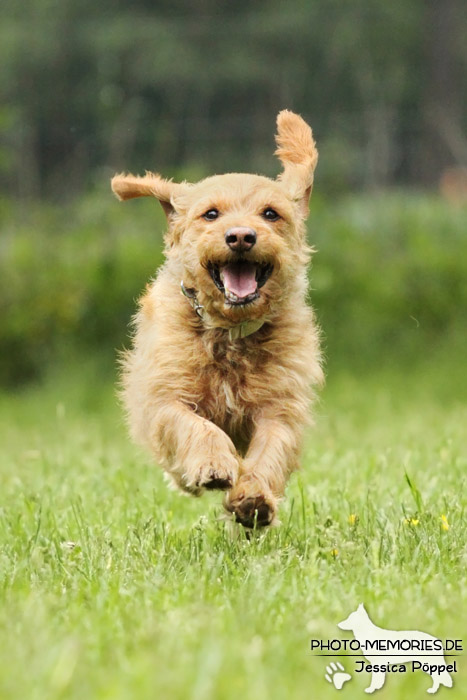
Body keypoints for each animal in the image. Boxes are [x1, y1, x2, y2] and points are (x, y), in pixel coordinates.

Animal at [111, 109, 324, 528]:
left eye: (271, 214)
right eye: (210, 214)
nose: (240, 236)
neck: (230, 333)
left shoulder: (280, 409)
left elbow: (270, 449)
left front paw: (253, 497)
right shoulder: (166, 397)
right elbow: (195, 425)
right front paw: (212, 465)